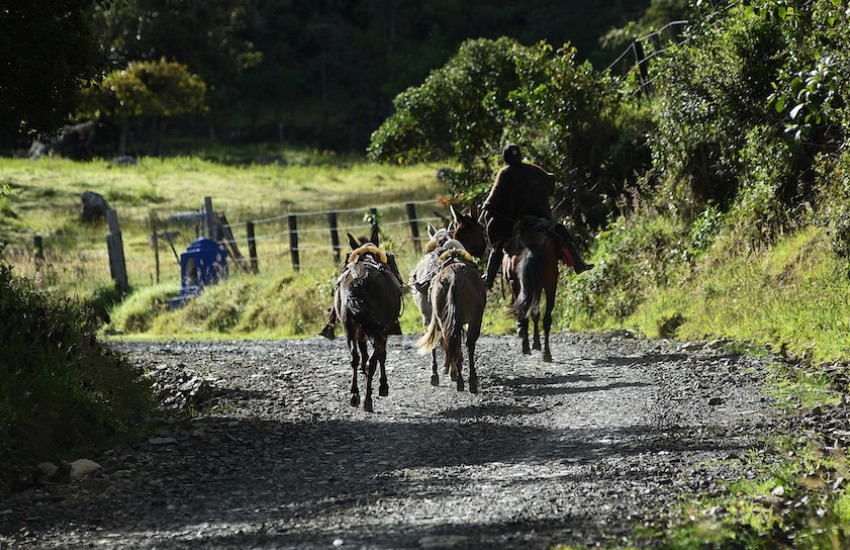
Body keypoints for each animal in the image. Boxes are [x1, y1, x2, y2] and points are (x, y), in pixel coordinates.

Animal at [332, 230, 402, 414]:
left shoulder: (360, 331)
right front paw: (383, 386)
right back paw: (367, 399)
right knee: (373, 360)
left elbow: (362, 354)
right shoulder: (384, 330)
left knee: (354, 357)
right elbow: (381, 356)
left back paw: (355, 394)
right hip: (379, 330)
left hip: (348, 328)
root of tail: (359, 281)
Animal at [504, 226, 556, 364]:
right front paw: (536, 343)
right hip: (550, 282)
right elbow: (535, 314)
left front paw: (532, 343)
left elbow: (532, 314)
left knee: (524, 314)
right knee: (546, 319)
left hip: (520, 285)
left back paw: (526, 347)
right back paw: (547, 354)